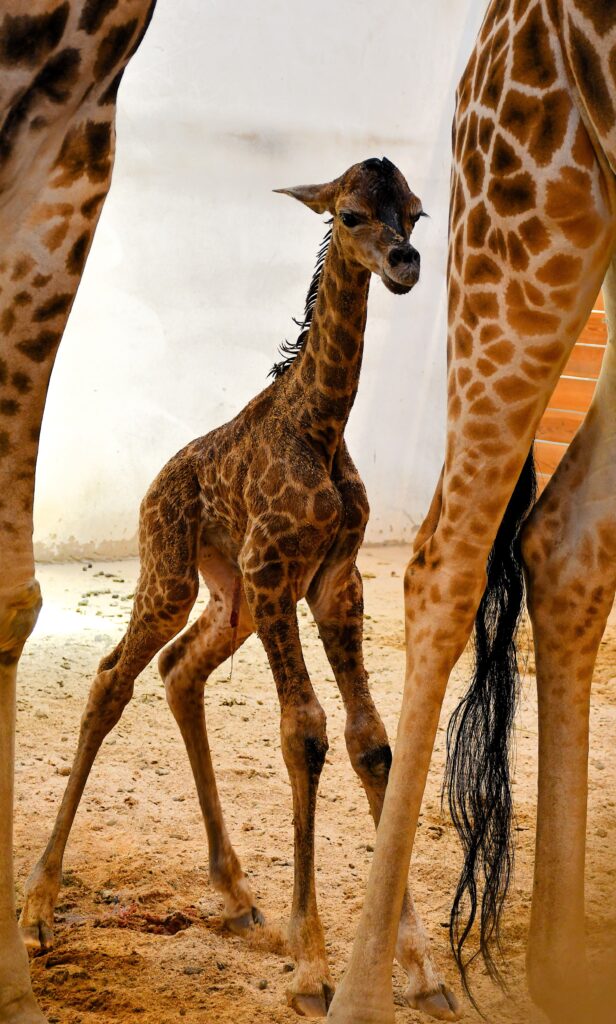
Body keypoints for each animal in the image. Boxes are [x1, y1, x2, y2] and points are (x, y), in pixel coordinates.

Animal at [18, 157, 462, 1020]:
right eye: (351, 215)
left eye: (418, 213)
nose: (405, 265)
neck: (320, 426)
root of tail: (153, 485)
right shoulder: (275, 572)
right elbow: (305, 732)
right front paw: (314, 968)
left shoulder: (333, 585)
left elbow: (369, 740)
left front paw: (418, 967)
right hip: (174, 575)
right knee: (112, 678)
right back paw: (38, 907)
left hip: (231, 604)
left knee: (177, 672)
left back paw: (237, 892)